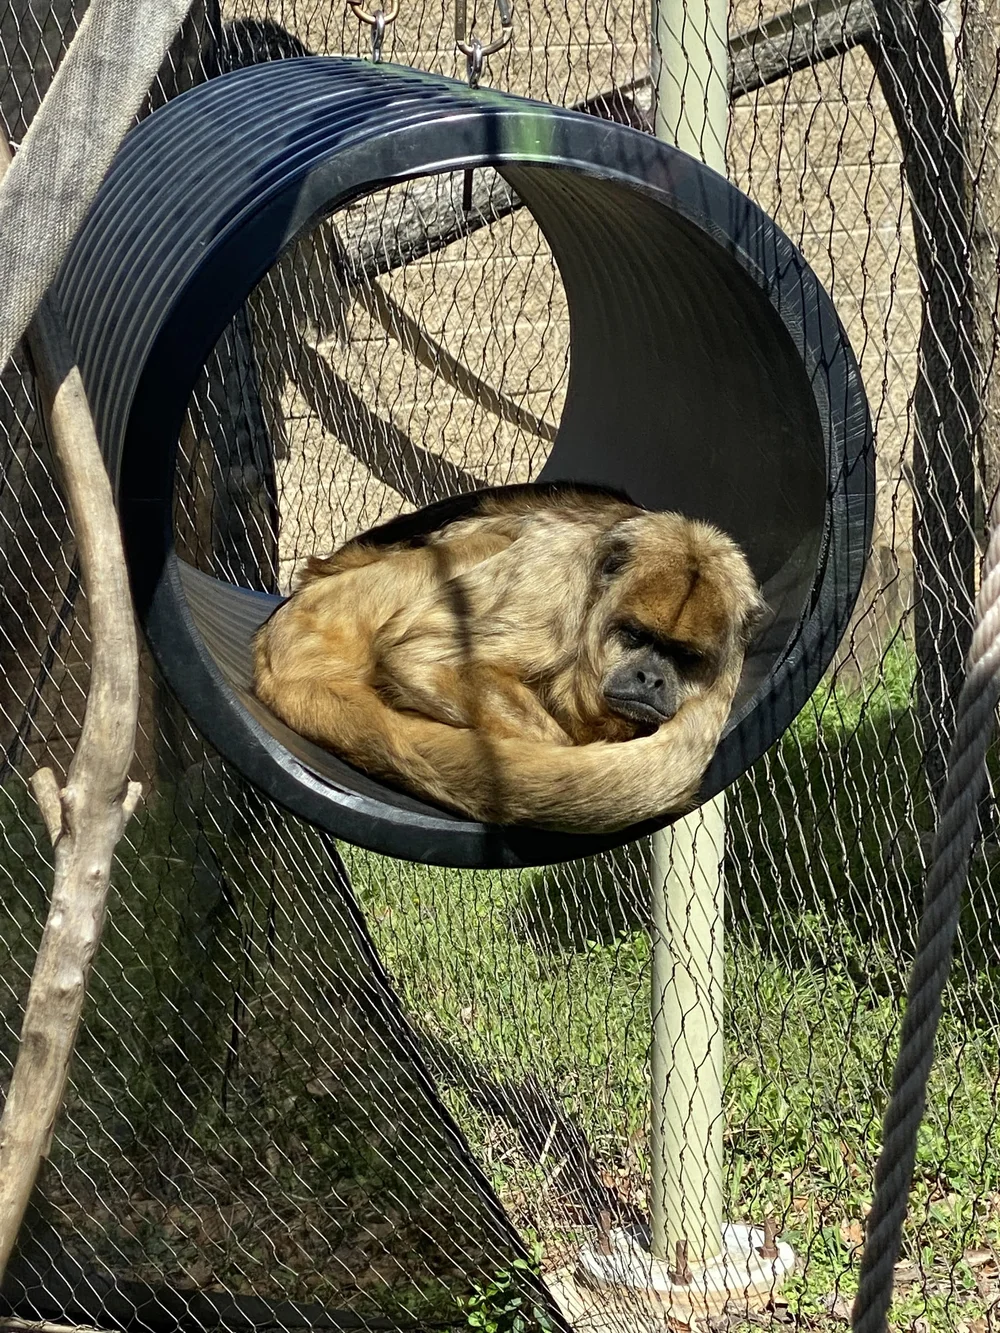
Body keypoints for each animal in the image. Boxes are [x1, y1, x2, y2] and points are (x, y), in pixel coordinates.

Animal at [251, 482, 765, 833]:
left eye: (684, 656)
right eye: (636, 636)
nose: (651, 679)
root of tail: (274, 645)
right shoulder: (555, 568)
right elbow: (421, 657)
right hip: (346, 605)